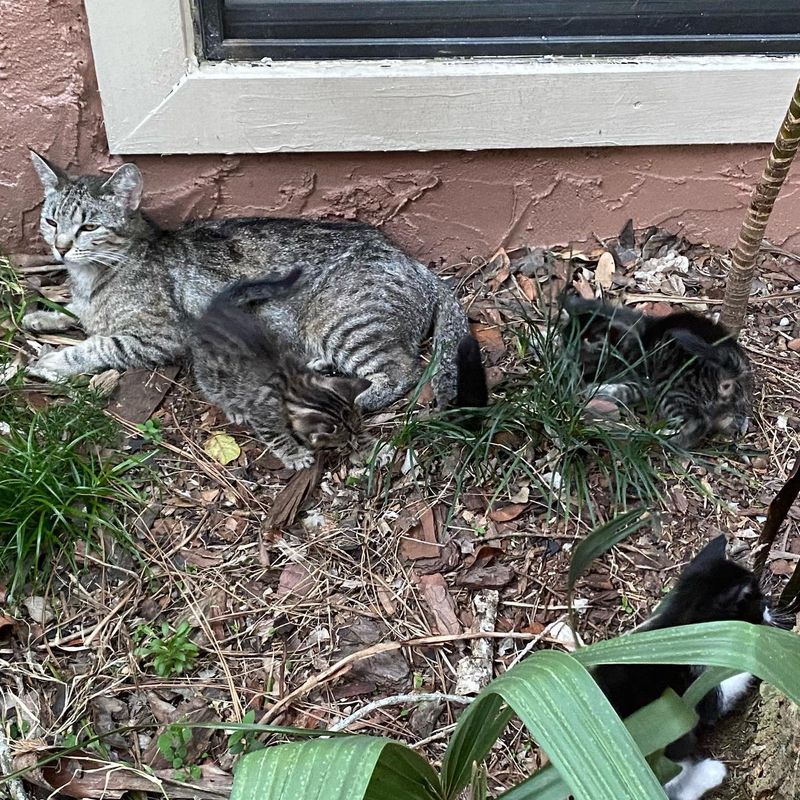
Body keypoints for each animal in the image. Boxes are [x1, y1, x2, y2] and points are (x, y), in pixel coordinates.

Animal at [23, 151, 482, 412]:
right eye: (51, 221)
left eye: (89, 227)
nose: (61, 247)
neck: (95, 275)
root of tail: (415, 263)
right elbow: (77, 314)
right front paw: (43, 316)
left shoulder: (157, 336)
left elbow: (100, 344)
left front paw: (52, 361)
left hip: (346, 326)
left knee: (402, 370)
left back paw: (360, 395)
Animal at [192, 268, 370, 468]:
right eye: (343, 441)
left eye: (357, 428)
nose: (353, 442)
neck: (293, 383)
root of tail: (214, 310)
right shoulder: (263, 415)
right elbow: (278, 437)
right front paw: (296, 456)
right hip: (209, 374)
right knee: (215, 391)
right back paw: (234, 409)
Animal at [560, 296, 752, 450]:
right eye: (565, 339)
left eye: (582, 343)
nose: (566, 353)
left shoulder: (644, 381)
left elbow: (626, 390)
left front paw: (599, 390)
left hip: (671, 386)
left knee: (697, 423)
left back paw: (662, 437)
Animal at [592, 532, 776, 800]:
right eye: (758, 602)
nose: (769, 607)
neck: (683, 627)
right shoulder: (703, 689)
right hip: (669, 739)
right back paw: (710, 773)